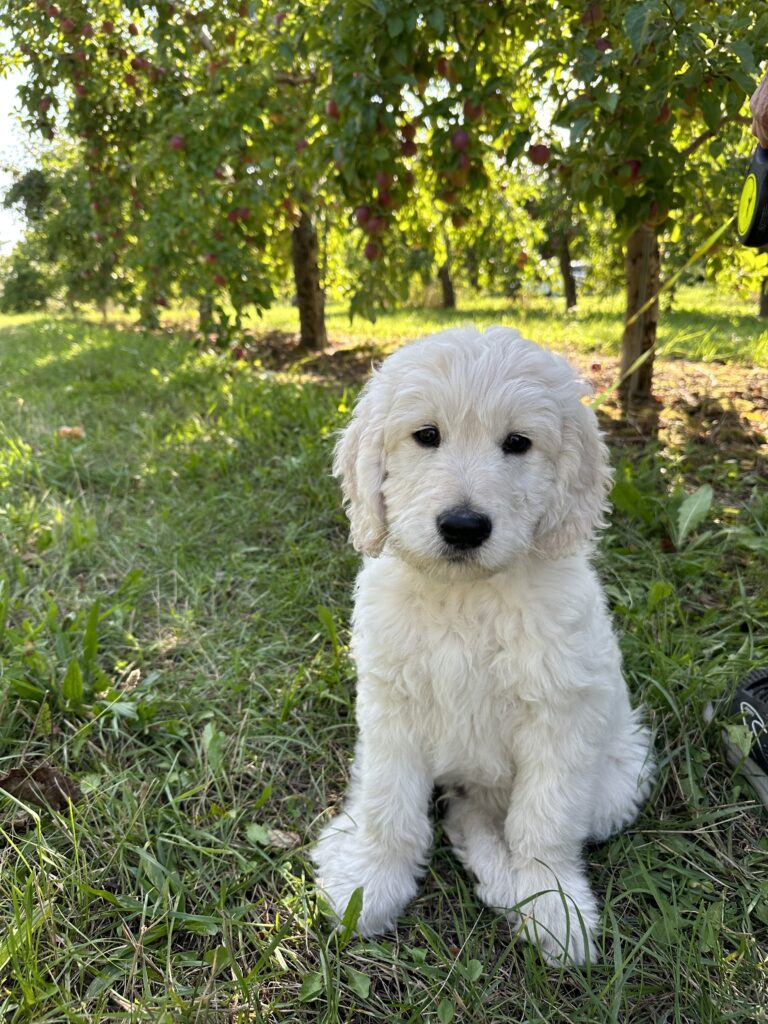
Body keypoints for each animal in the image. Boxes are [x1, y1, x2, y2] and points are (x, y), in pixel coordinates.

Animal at [312, 325, 653, 964]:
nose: (464, 527)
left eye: (518, 443)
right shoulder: (393, 709)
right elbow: (390, 806)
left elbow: (544, 822)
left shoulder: (561, 716)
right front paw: (370, 882)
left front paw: (554, 903)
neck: (466, 596)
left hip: (619, 777)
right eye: (426, 435)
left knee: (488, 816)